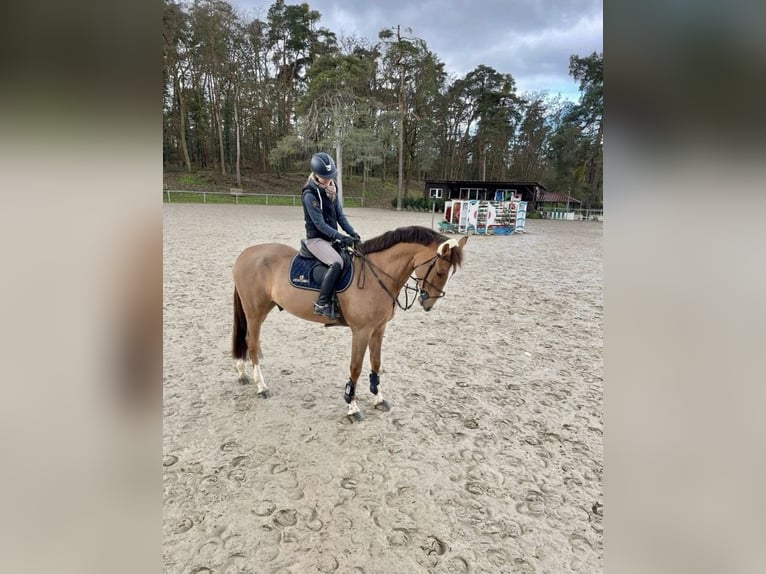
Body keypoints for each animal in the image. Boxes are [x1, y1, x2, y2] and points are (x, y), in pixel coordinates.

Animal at [231, 226, 468, 424]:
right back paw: (261, 386)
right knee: (252, 343)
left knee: (247, 341)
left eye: (451, 273)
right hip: (255, 312)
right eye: (439, 271)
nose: (428, 304)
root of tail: (245, 254)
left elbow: (376, 363)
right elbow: (356, 367)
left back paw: (242, 373)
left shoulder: (378, 329)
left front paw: (378, 398)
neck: (376, 275)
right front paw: (352, 407)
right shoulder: (361, 331)